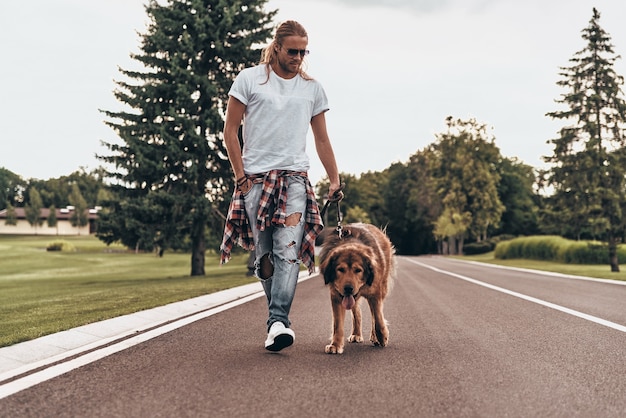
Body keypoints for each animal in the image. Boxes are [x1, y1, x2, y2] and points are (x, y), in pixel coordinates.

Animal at [320, 222, 392, 352]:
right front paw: (335, 345)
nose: (348, 288)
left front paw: (382, 336)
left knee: (373, 314)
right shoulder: (336, 296)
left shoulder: (375, 293)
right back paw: (356, 334)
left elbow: (378, 317)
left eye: (358, 270)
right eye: (340, 269)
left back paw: (375, 337)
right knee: (357, 313)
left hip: (382, 287)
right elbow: (337, 324)